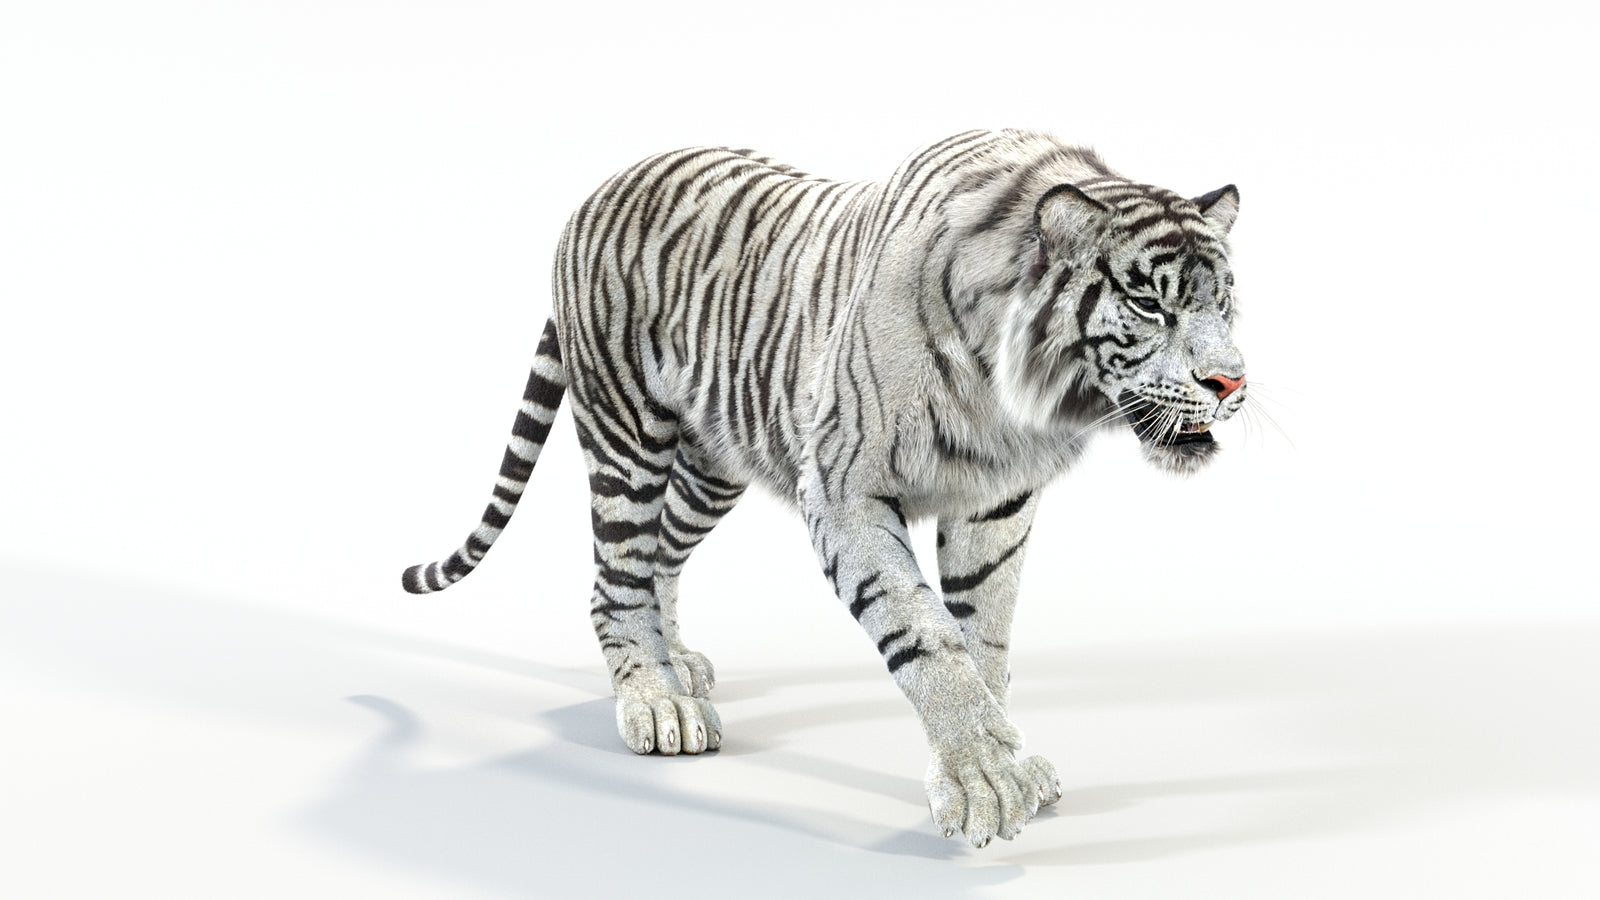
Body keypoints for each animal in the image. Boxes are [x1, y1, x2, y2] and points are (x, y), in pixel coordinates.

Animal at [401, 129, 1248, 847]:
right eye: (1152, 305)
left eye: (1224, 303)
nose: (1231, 381)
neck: (1015, 397)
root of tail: (602, 187)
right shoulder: (845, 488)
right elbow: (924, 632)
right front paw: (982, 780)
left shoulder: (996, 502)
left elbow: (987, 634)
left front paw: (1006, 764)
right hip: (627, 432)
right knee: (616, 577)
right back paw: (657, 702)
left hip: (713, 464)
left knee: (659, 560)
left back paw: (678, 662)